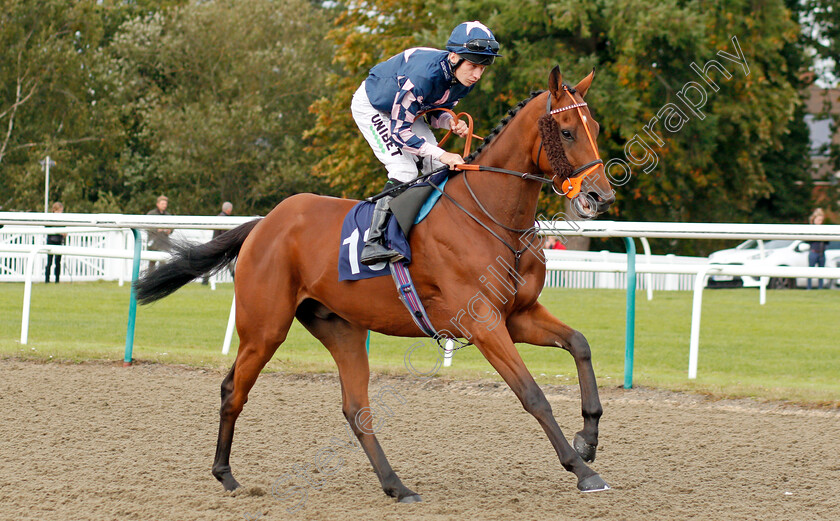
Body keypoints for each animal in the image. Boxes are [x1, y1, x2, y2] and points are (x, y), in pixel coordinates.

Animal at [133, 67, 616, 502]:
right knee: (234, 389)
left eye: (594, 127)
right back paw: (226, 476)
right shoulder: (483, 322)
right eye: (567, 132)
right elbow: (533, 395)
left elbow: (580, 344)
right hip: (265, 327)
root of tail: (263, 224)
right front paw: (582, 470)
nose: (601, 196)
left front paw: (588, 438)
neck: (491, 216)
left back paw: (396, 485)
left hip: (341, 328)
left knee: (356, 409)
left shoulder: (518, 315)